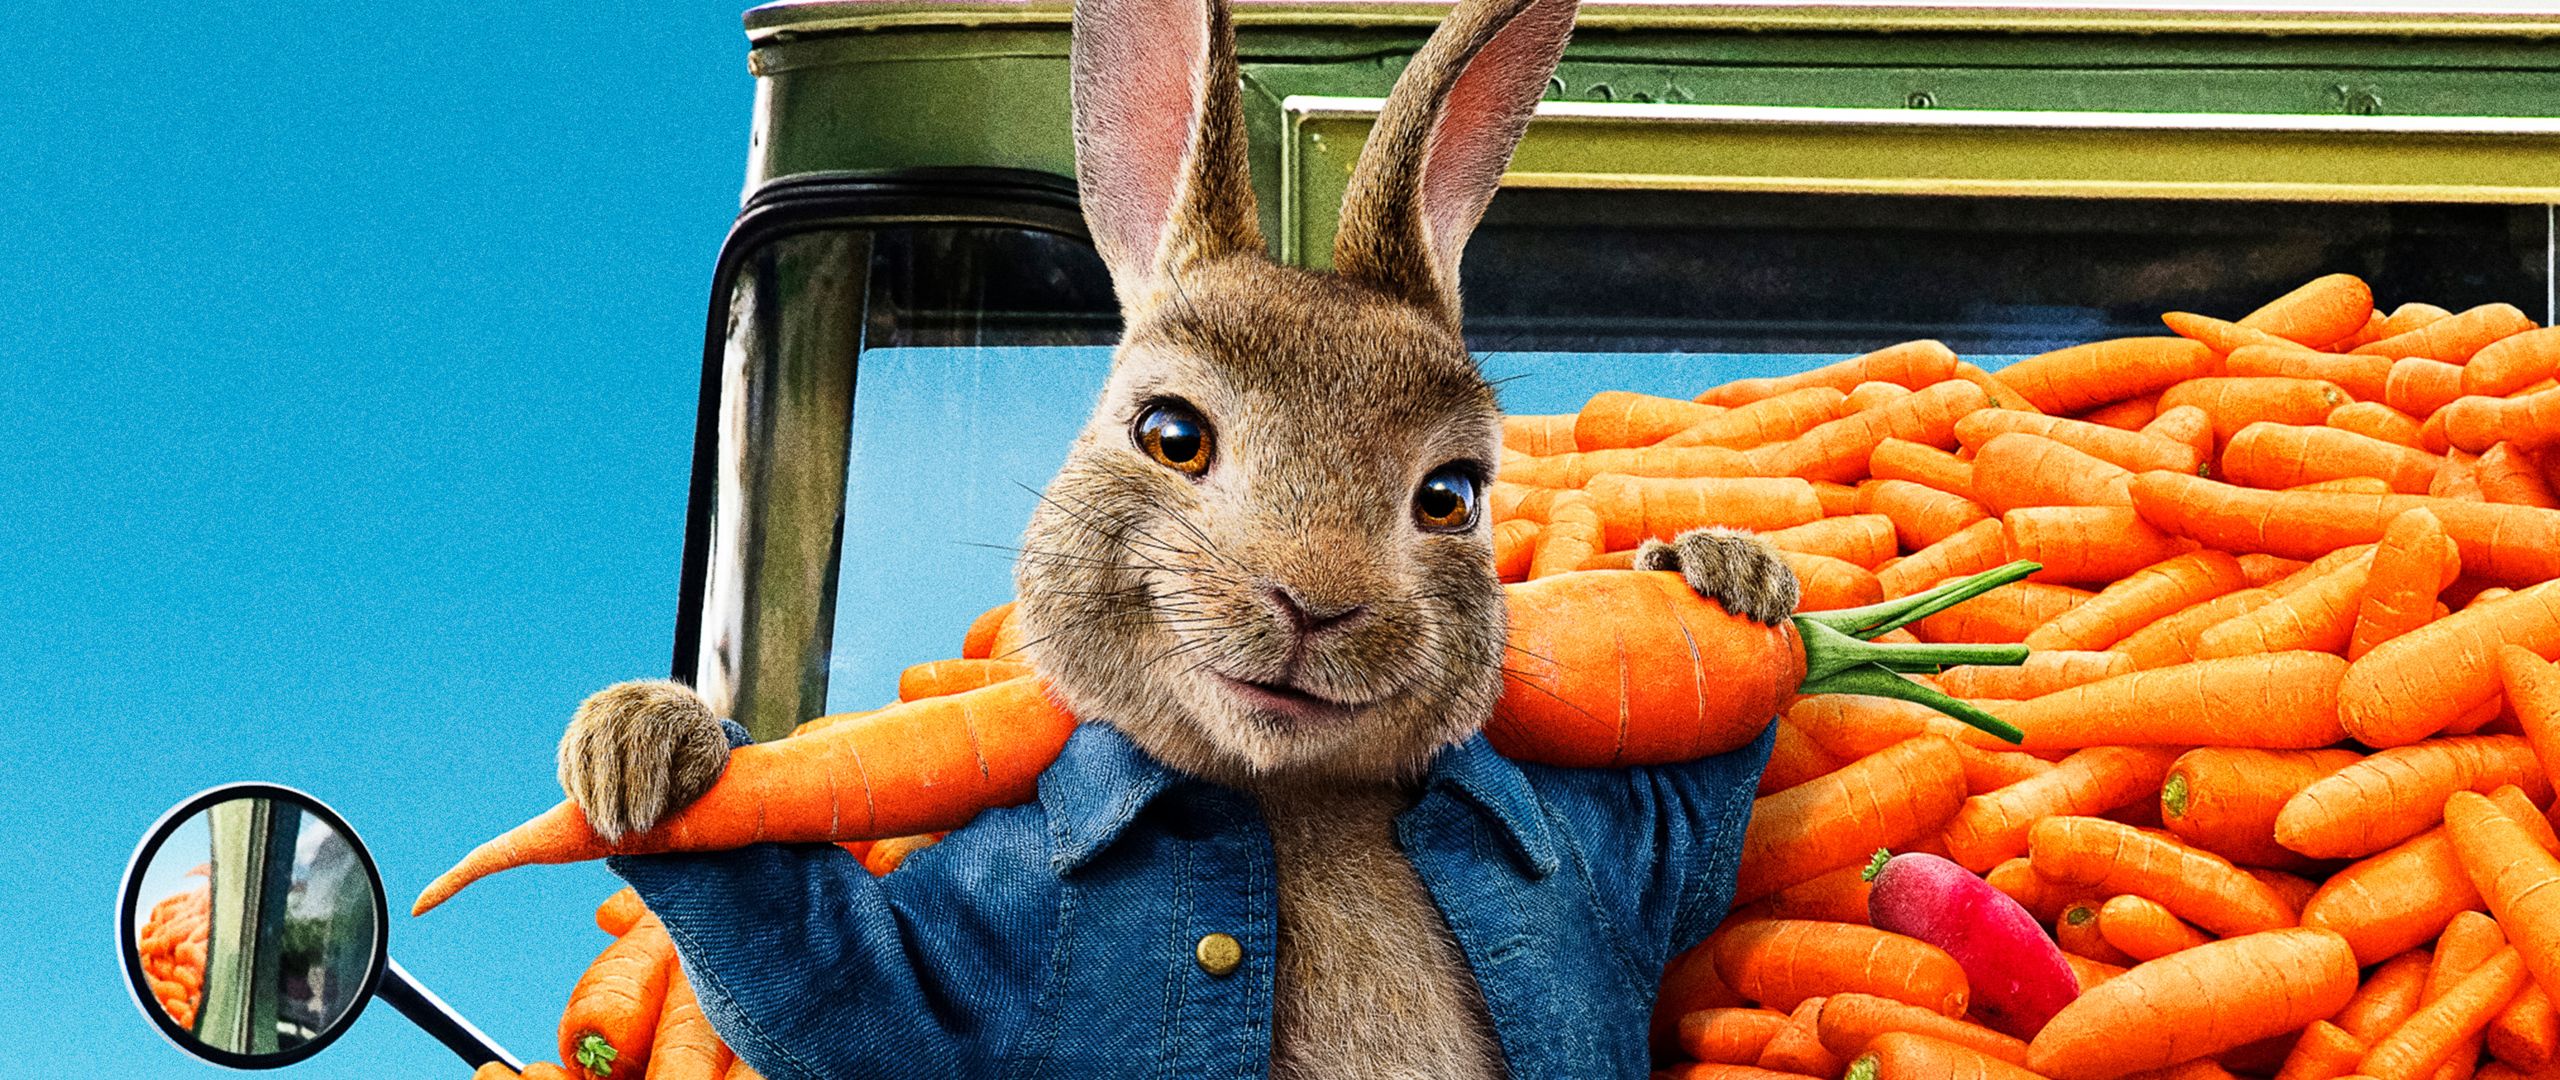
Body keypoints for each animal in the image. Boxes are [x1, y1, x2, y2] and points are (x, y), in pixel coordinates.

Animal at [560, 0, 1798, 1072]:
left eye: (1448, 496)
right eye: (1170, 434)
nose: (1315, 604)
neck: (1292, 797)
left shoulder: (1603, 864)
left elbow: (1686, 829)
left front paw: (1723, 572)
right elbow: (843, 988)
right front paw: (642, 744)